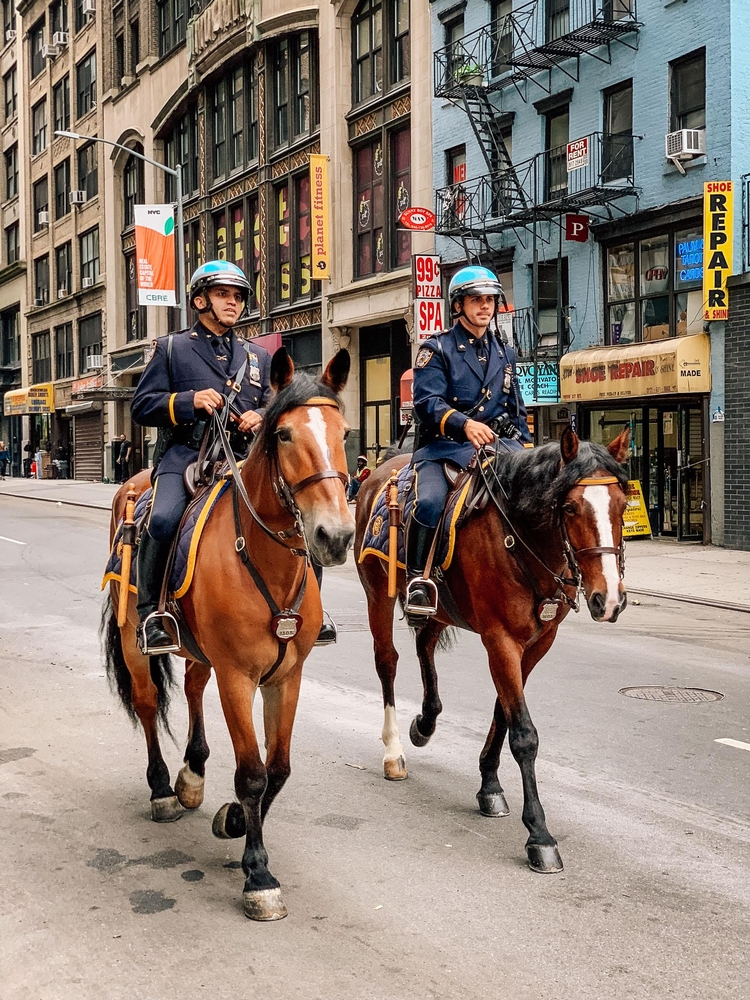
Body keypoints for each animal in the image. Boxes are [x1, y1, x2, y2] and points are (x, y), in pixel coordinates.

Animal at [103, 352, 358, 920]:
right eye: (283, 434)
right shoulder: (238, 677)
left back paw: (192, 774)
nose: (335, 536)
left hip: (201, 651)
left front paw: (236, 820)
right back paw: (163, 789)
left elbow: (278, 768)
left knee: (194, 686)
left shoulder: (286, 677)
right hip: (135, 639)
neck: (265, 561)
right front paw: (258, 874)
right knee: (149, 703)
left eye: (344, 432)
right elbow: (253, 773)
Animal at [356, 426, 632, 872]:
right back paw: (394, 753)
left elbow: (504, 712)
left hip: (440, 607)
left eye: (623, 505)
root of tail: (379, 470)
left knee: (424, 646)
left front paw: (489, 785)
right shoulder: (500, 639)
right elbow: (523, 733)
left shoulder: (537, 643)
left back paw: (426, 722)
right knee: (388, 663)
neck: (519, 537)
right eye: (570, 507)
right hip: (377, 594)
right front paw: (539, 834)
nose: (608, 600)